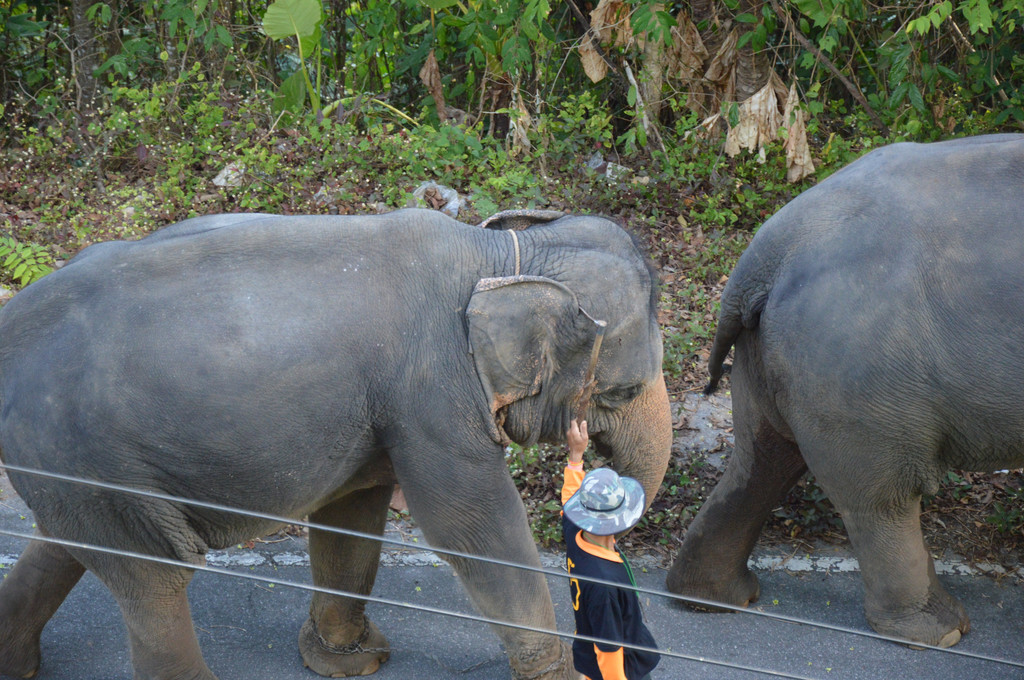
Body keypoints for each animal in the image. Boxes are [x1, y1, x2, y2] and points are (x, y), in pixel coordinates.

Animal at [0, 209, 671, 675]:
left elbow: (351, 511)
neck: (495, 255)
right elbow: (470, 526)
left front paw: (349, 662)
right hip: (85, 455)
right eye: (621, 392)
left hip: (79, 468)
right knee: (155, 580)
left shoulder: (379, 412)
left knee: (67, 544)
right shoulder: (434, 394)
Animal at [663, 133, 1024, 647]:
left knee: (762, 460)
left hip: (786, 358)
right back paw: (940, 632)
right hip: (860, 370)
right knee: (883, 497)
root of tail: (767, 253)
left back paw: (712, 599)